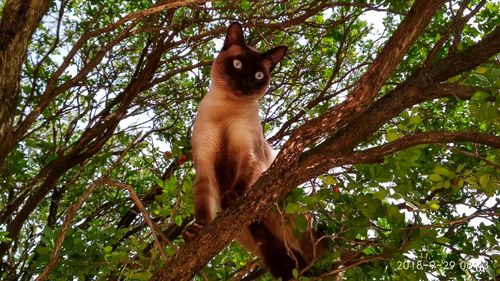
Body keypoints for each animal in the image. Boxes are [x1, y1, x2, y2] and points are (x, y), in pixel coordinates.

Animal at [184, 22, 320, 280]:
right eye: (237, 64)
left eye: (258, 75)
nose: (246, 81)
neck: (226, 108)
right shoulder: (205, 162)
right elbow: (203, 204)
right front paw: (198, 229)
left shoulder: (249, 152)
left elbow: (243, 178)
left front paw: (233, 197)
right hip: (271, 251)